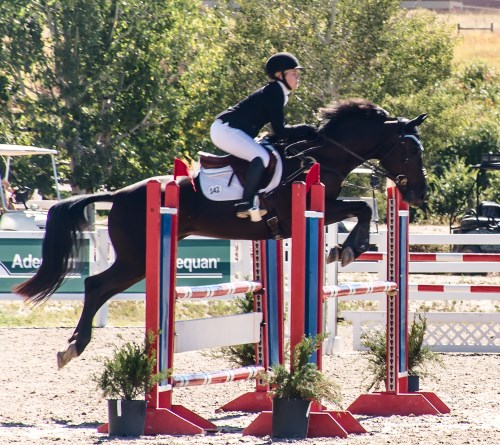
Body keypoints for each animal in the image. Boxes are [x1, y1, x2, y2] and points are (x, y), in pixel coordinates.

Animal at [14, 99, 430, 366]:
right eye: (410, 152)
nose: (419, 194)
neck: (321, 156)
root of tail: (118, 194)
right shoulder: (312, 210)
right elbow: (360, 208)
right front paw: (347, 249)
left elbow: (361, 209)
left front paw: (347, 248)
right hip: (137, 258)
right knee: (96, 285)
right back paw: (73, 347)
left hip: (136, 259)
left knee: (98, 286)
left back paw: (73, 345)